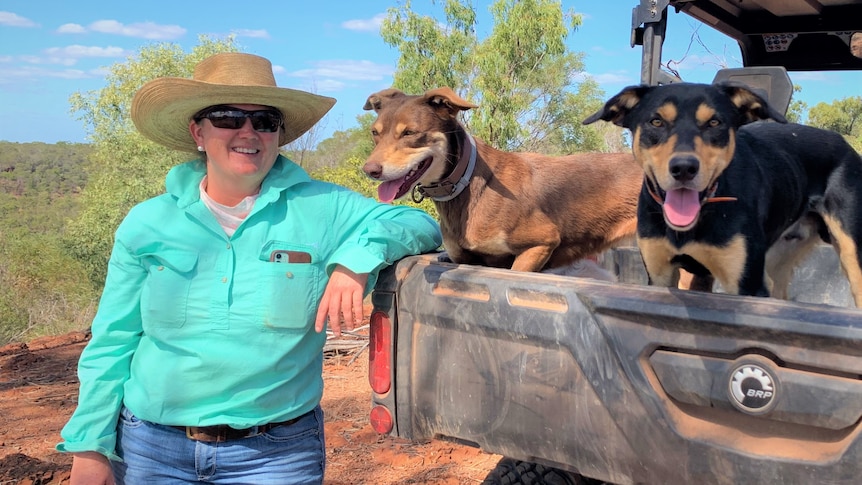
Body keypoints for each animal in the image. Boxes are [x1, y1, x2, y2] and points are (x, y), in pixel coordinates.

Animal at [362, 87, 644, 274]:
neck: (468, 185)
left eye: (410, 133)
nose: (369, 170)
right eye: (375, 133)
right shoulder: (464, 258)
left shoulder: (541, 243)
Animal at [588, 81, 862, 304]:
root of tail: (844, 143)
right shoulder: (659, 274)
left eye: (714, 122)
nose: (684, 168)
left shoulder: (745, 284)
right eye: (656, 121)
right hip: (779, 258)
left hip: (852, 254)